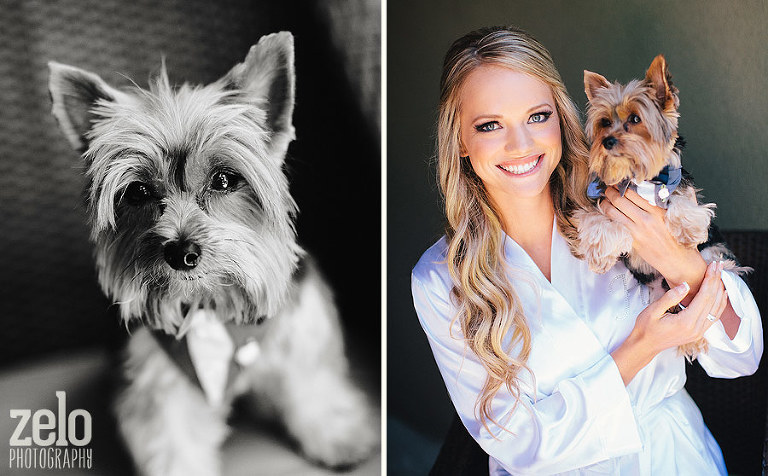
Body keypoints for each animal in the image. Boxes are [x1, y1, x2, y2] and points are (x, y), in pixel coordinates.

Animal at [46, 31, 376, 474]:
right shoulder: (160, 380)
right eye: (137, 192)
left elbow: (311, 384)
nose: (181, 251)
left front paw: (338, 434)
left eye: (223, 180)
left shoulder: (300, 333)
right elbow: (172, 440)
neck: (214, 305)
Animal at [576, 54, 744, 356]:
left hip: (712, 255)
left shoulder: (678, 180)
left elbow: (681, 197)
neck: (637, 179)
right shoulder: (604, 195)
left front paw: (687, 230)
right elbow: (596, 220)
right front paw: (600, 254)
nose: (607, 141)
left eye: (635, 118)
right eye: (604, 122)